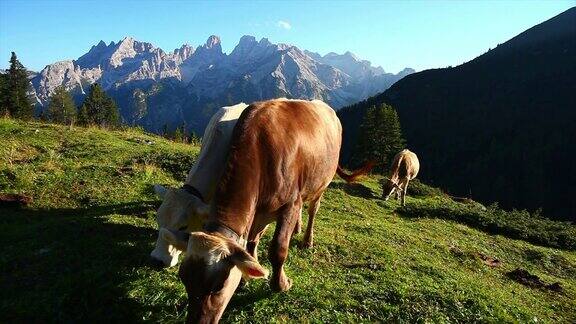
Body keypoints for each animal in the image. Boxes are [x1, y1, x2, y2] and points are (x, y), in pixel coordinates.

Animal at [161, 98, 368, 322]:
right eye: (184, 279)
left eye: (218, 286)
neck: (260, 150)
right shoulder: (258, 212)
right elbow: (250, 245)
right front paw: (246, 278)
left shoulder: (290, 204)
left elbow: (278, 249)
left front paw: (281, 284)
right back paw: (297, 229)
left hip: (321, 184)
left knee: (313, 209)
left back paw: (307, 240)